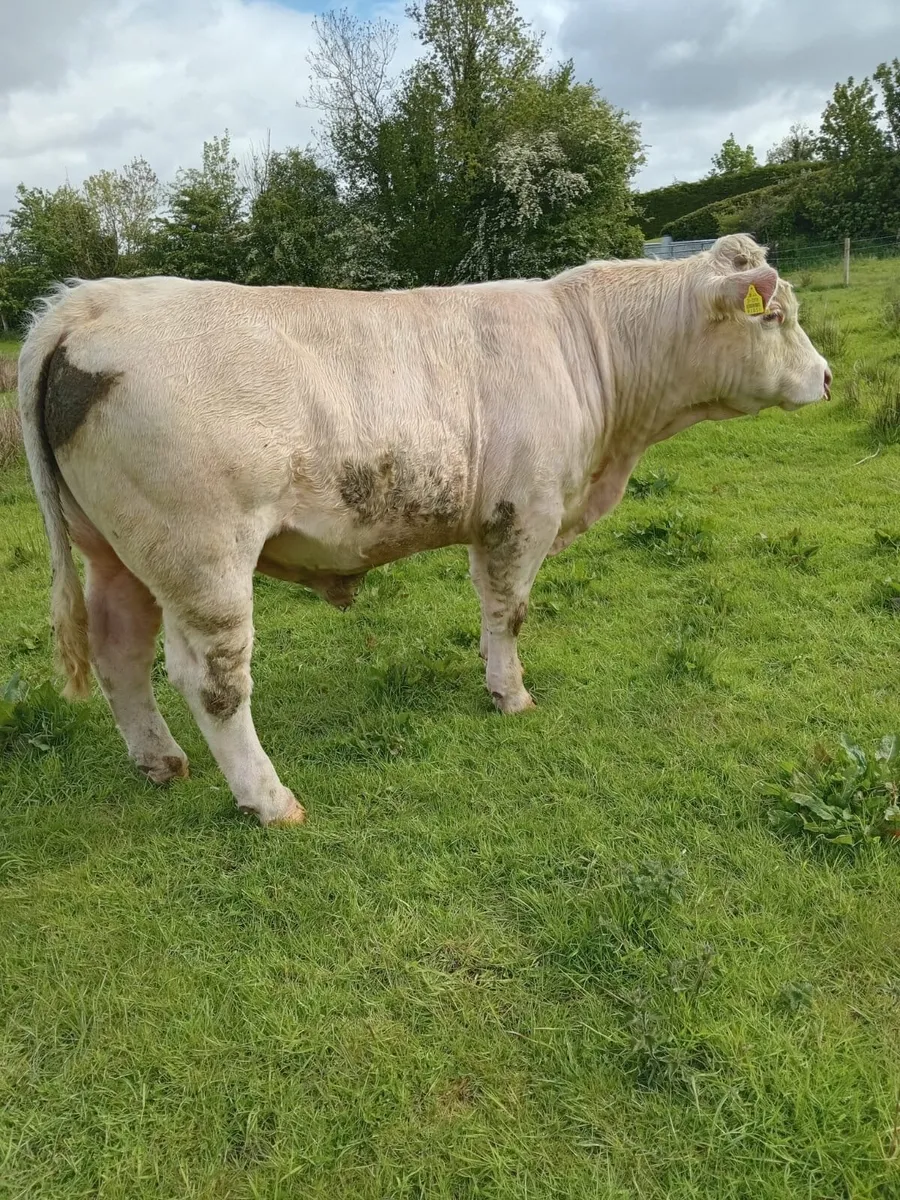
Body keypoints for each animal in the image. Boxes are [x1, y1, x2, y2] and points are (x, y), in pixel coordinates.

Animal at [17, 234, 831, 826]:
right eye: (775, 316)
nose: (825, 378)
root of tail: (90, 301)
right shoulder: (524, 511)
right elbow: (509, 611)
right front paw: (510, 695)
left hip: (116, 554)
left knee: (120, 652)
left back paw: (161, 762)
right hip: (201, 556)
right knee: (212, 681)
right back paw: (270, 801)